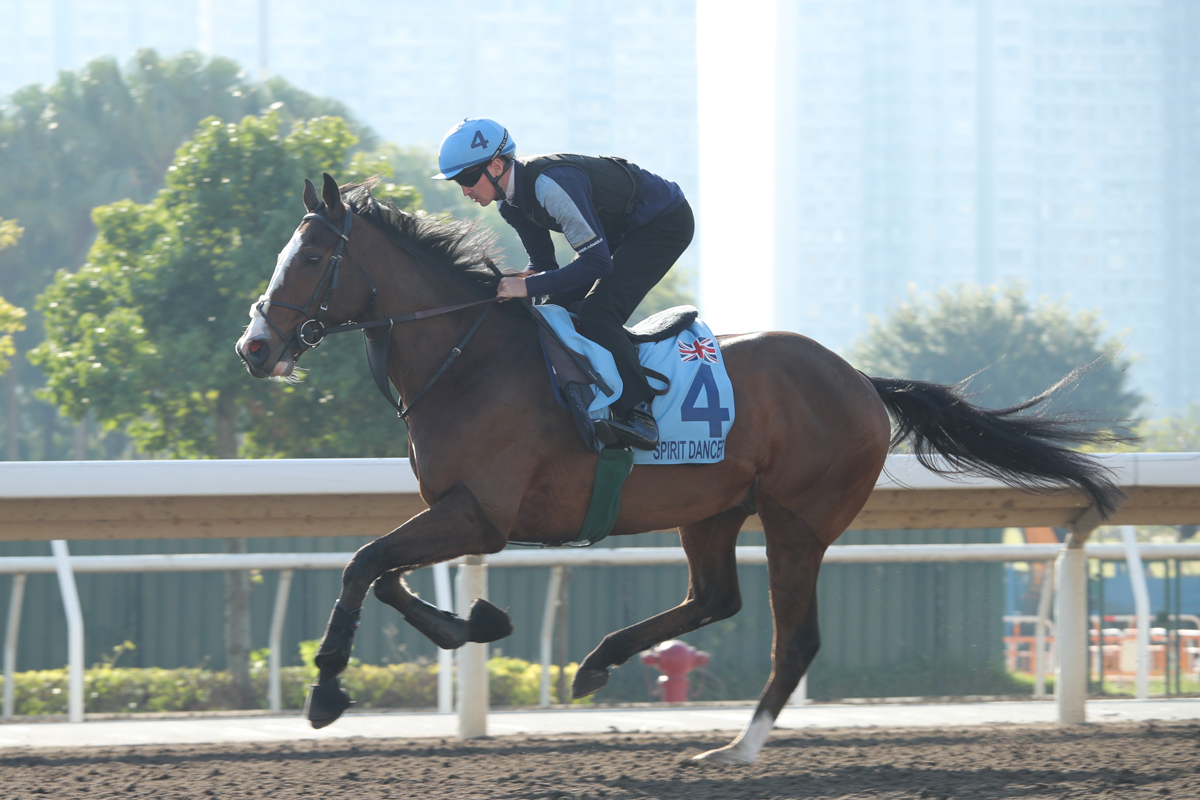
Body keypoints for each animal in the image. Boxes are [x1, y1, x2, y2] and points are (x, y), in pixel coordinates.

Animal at [236, 176, 1123, 767]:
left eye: (310, 256)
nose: (255, 347)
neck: (467, 358)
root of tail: (861, 381)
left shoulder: (481, 513)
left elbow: (363, 564)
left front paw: (325, 692)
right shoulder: (458, 513)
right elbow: (384, 574)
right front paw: (477, 623)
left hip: (798, 520)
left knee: (794, 638)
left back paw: (736, 749)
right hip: (714, 509)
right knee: (714, 598)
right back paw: (598, 663)